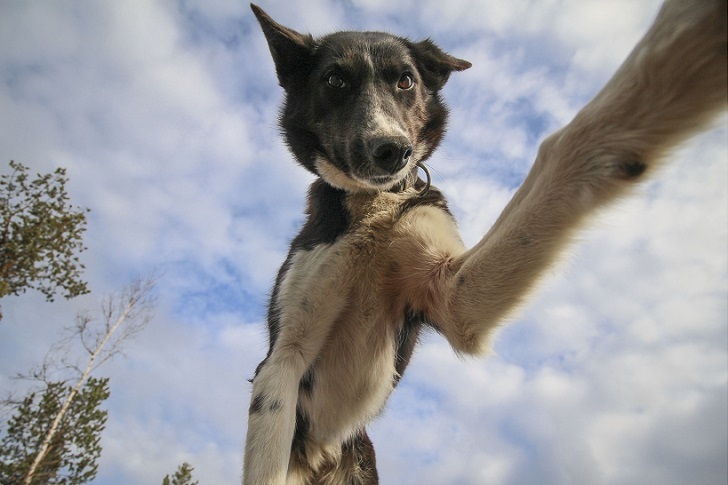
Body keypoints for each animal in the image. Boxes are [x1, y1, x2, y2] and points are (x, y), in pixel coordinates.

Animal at [246, 1, 728, 482]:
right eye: (335, 80)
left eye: (405, 80)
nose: (392, 150)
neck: (374, 203)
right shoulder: (282, 361)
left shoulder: (453, 298)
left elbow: (558, 150)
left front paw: (682, 46)